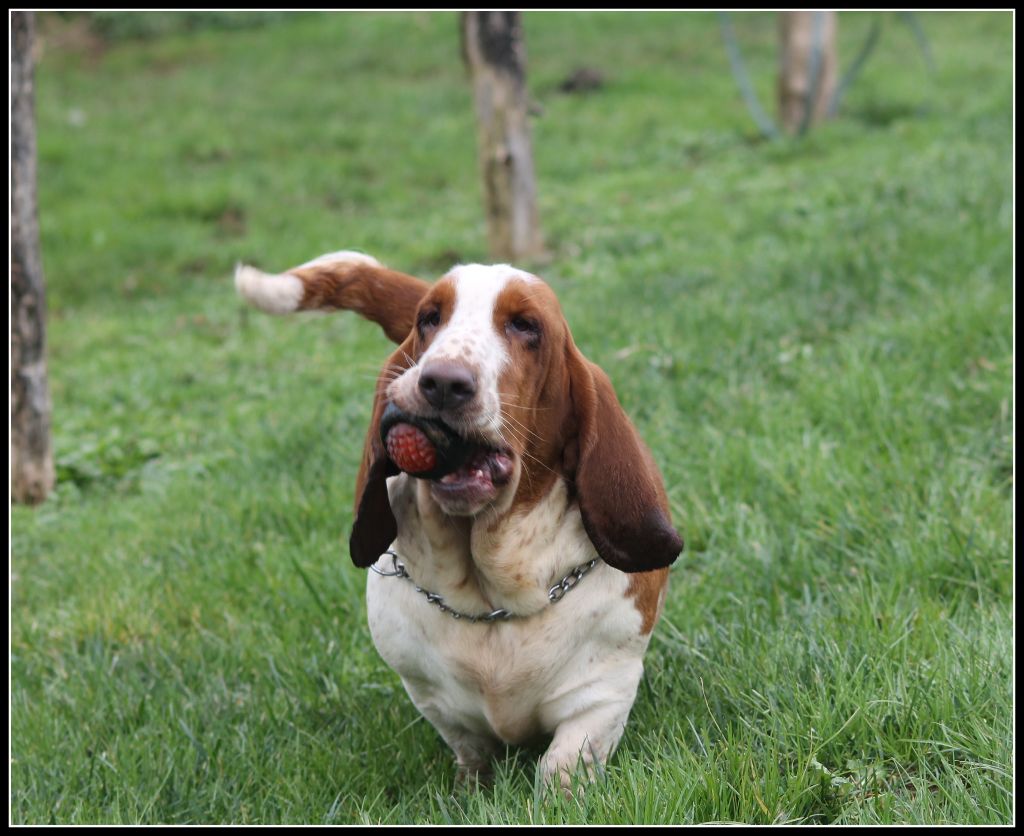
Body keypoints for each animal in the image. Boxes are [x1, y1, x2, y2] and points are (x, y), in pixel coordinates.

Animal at [235, 249, 684, 790]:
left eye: (525, 326)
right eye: (430, 318)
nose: (443, 383)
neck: (493, 598)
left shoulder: (601, 696)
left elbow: (562, 767)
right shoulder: (434, 698)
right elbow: (469, 747)